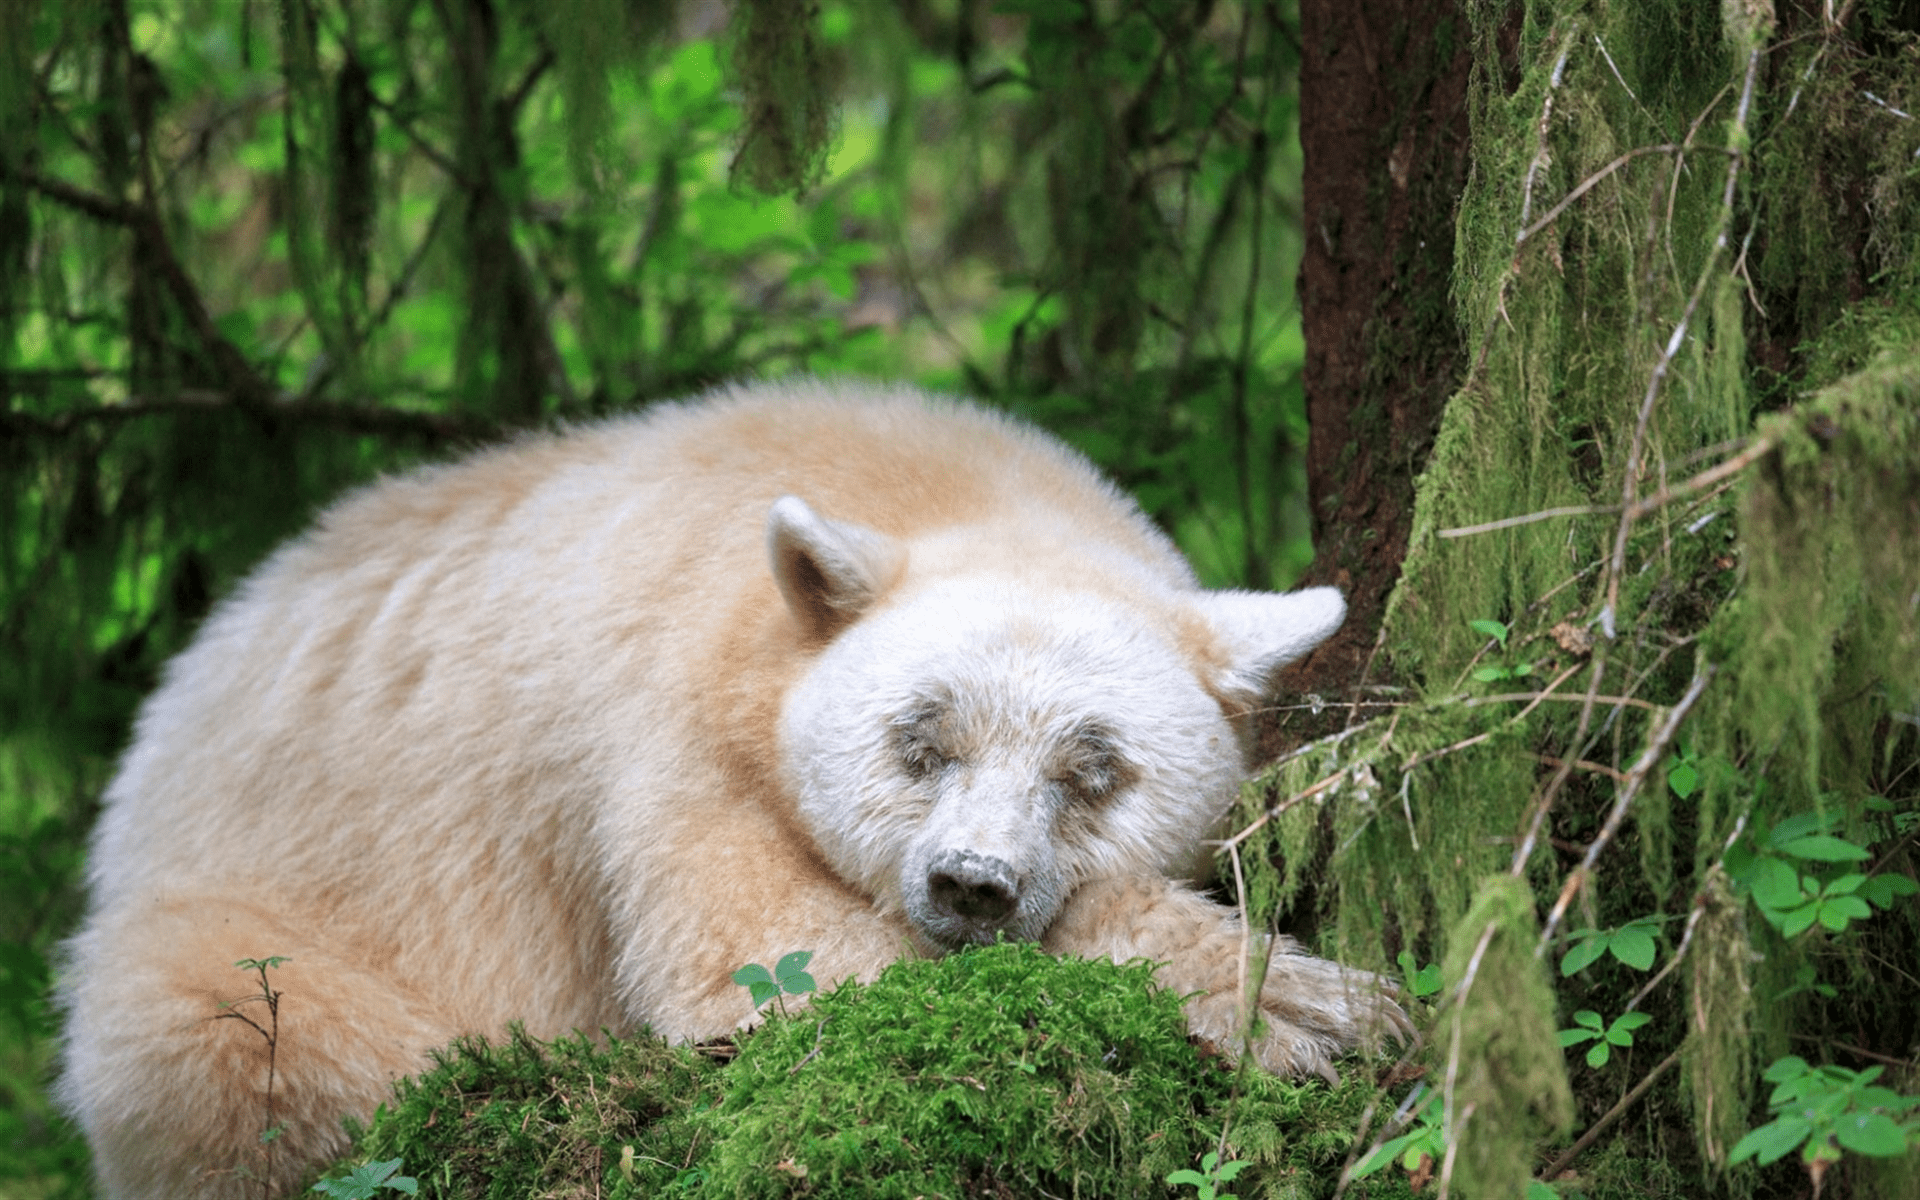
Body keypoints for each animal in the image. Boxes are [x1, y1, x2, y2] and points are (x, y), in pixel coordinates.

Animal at [57, 380, 1405, 1198]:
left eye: (1094, 770)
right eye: (921, 741)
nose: (970, 885)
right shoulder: (668, 726)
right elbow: (766, 961)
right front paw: (1293, 1007)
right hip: (258, 905)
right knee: (211, 1023)